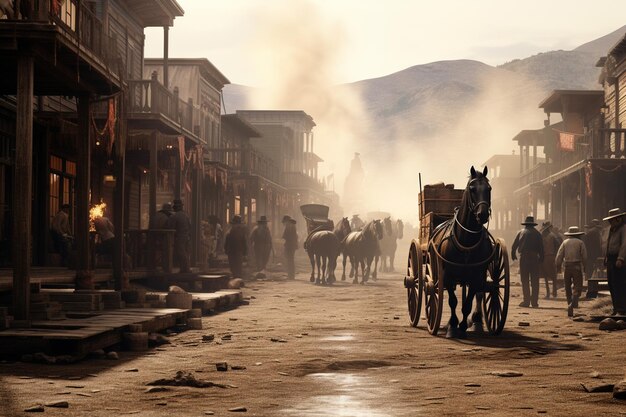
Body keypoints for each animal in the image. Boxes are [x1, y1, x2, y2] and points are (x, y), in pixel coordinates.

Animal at [428, 164, 492, 336]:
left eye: (489, 188)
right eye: (472, 189)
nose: (482, 214)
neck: (466, 240)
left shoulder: (477, 275)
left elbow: (468, 302)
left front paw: (463, 325)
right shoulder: (448, 275)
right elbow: (452, 301)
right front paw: (452, 325)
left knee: (479, 294)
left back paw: (476, 322)